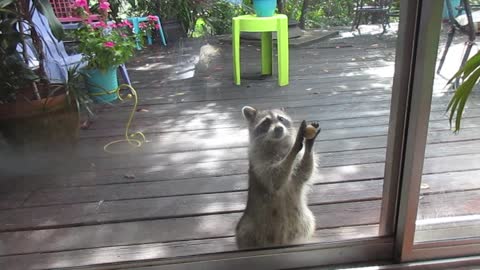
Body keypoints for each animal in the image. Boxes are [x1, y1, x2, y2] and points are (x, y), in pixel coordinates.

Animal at [234, 105, 320, 249]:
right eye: (266, 122)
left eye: (281, 119)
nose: (279, 128)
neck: (277, 144)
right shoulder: (259, 163)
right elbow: (275, 179)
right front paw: (295, 146)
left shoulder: (296, 174)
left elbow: (304, 173)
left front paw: (309, 144)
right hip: (249, 225)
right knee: (245, 230)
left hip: (303, 221)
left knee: (308, 221)